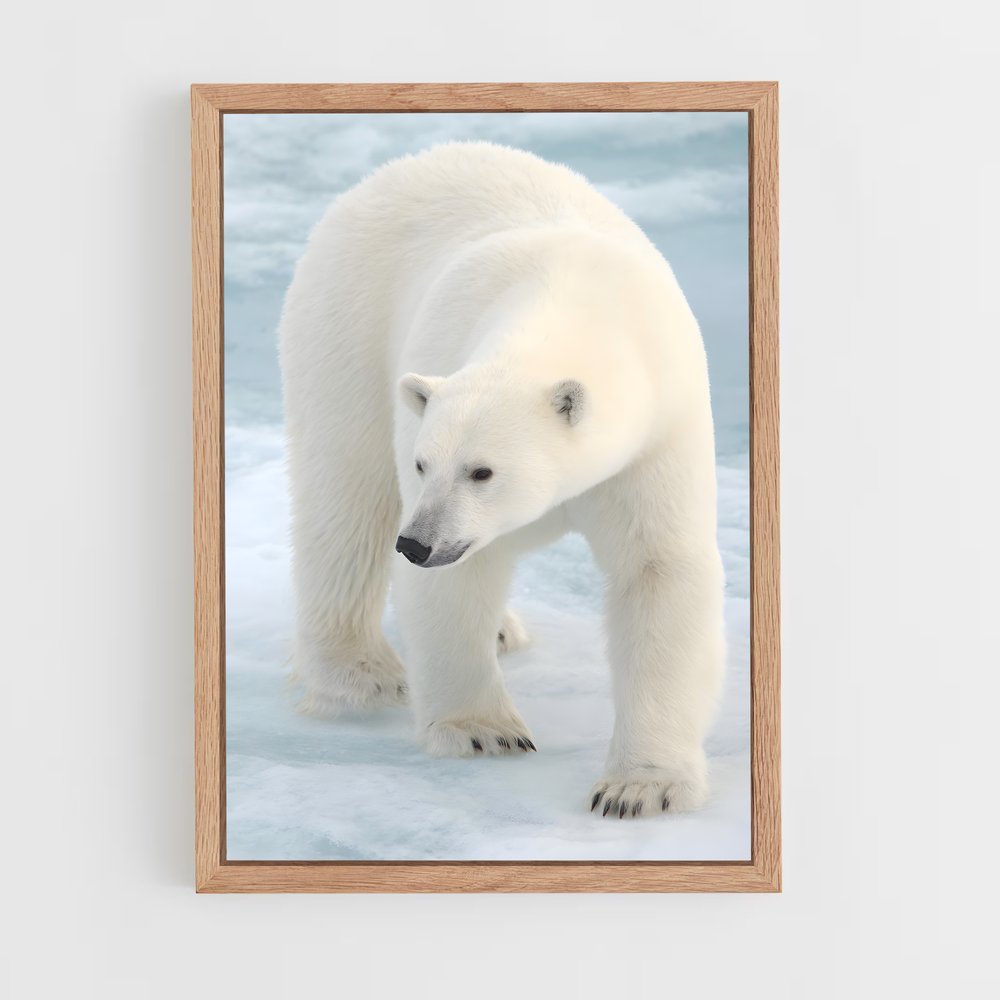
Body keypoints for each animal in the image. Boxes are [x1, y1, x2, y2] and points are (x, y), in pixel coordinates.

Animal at [279, 140, 726, 818]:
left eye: (482, 470)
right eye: (423, 464)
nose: (416, 544)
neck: (572, 302)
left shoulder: (656, 436)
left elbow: (659, 569)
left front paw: (637, 787)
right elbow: (457, 581)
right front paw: (484, 731)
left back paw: (500, 629)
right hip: (346, 323)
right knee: (347, 495)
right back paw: (360, 674)